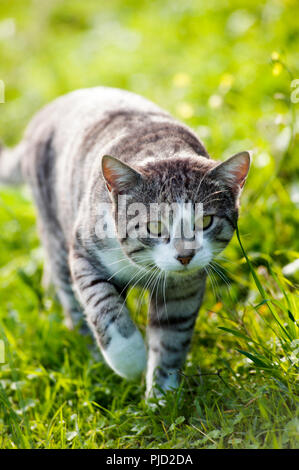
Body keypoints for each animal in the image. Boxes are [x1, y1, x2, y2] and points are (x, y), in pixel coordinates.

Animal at [0, 87, 252, 396]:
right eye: (154, 226)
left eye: (205, 222)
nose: (184, 255)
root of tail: (47, 110)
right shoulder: (84, 254)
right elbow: (103, 305)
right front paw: (131, 362)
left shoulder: (184, 285)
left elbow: (171, 333)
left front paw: (162, 395)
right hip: (55, 228)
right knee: (71, 298)